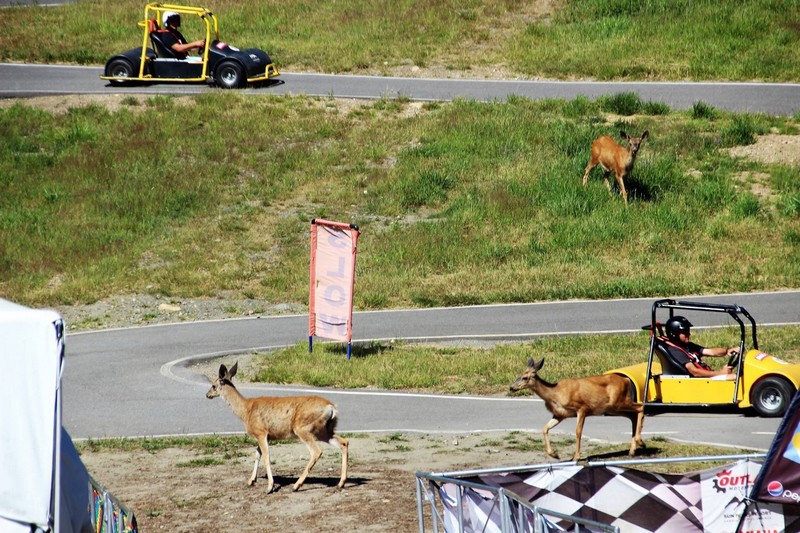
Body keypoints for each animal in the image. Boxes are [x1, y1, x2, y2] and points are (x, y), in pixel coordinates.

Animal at [206, 360, 346, 492]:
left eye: (213, 385)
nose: (207, 395)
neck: (245, 410)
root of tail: (331, 407)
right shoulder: (264, 435)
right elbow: (257, 455)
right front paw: (251, 480)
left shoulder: (261, 432)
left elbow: (266, 457)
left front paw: (270, 487)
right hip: (325, 430)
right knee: (344, 443)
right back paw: (341, 483)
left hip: (303, 427)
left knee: (316, 451)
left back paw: (296, 486)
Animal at [510, 358, 648, 462]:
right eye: (519, 375)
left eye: (525, 377)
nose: (511, 387)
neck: (555, 394)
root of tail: (626, 380)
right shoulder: (559, 414)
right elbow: (545, 428)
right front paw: (554, 454)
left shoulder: (582, 408)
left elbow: (578, 432)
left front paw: (575, 457)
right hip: (613, 407)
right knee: (633, 415)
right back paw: (632, 450)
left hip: (619, 402)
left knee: (641, 406)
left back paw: (640, 441)